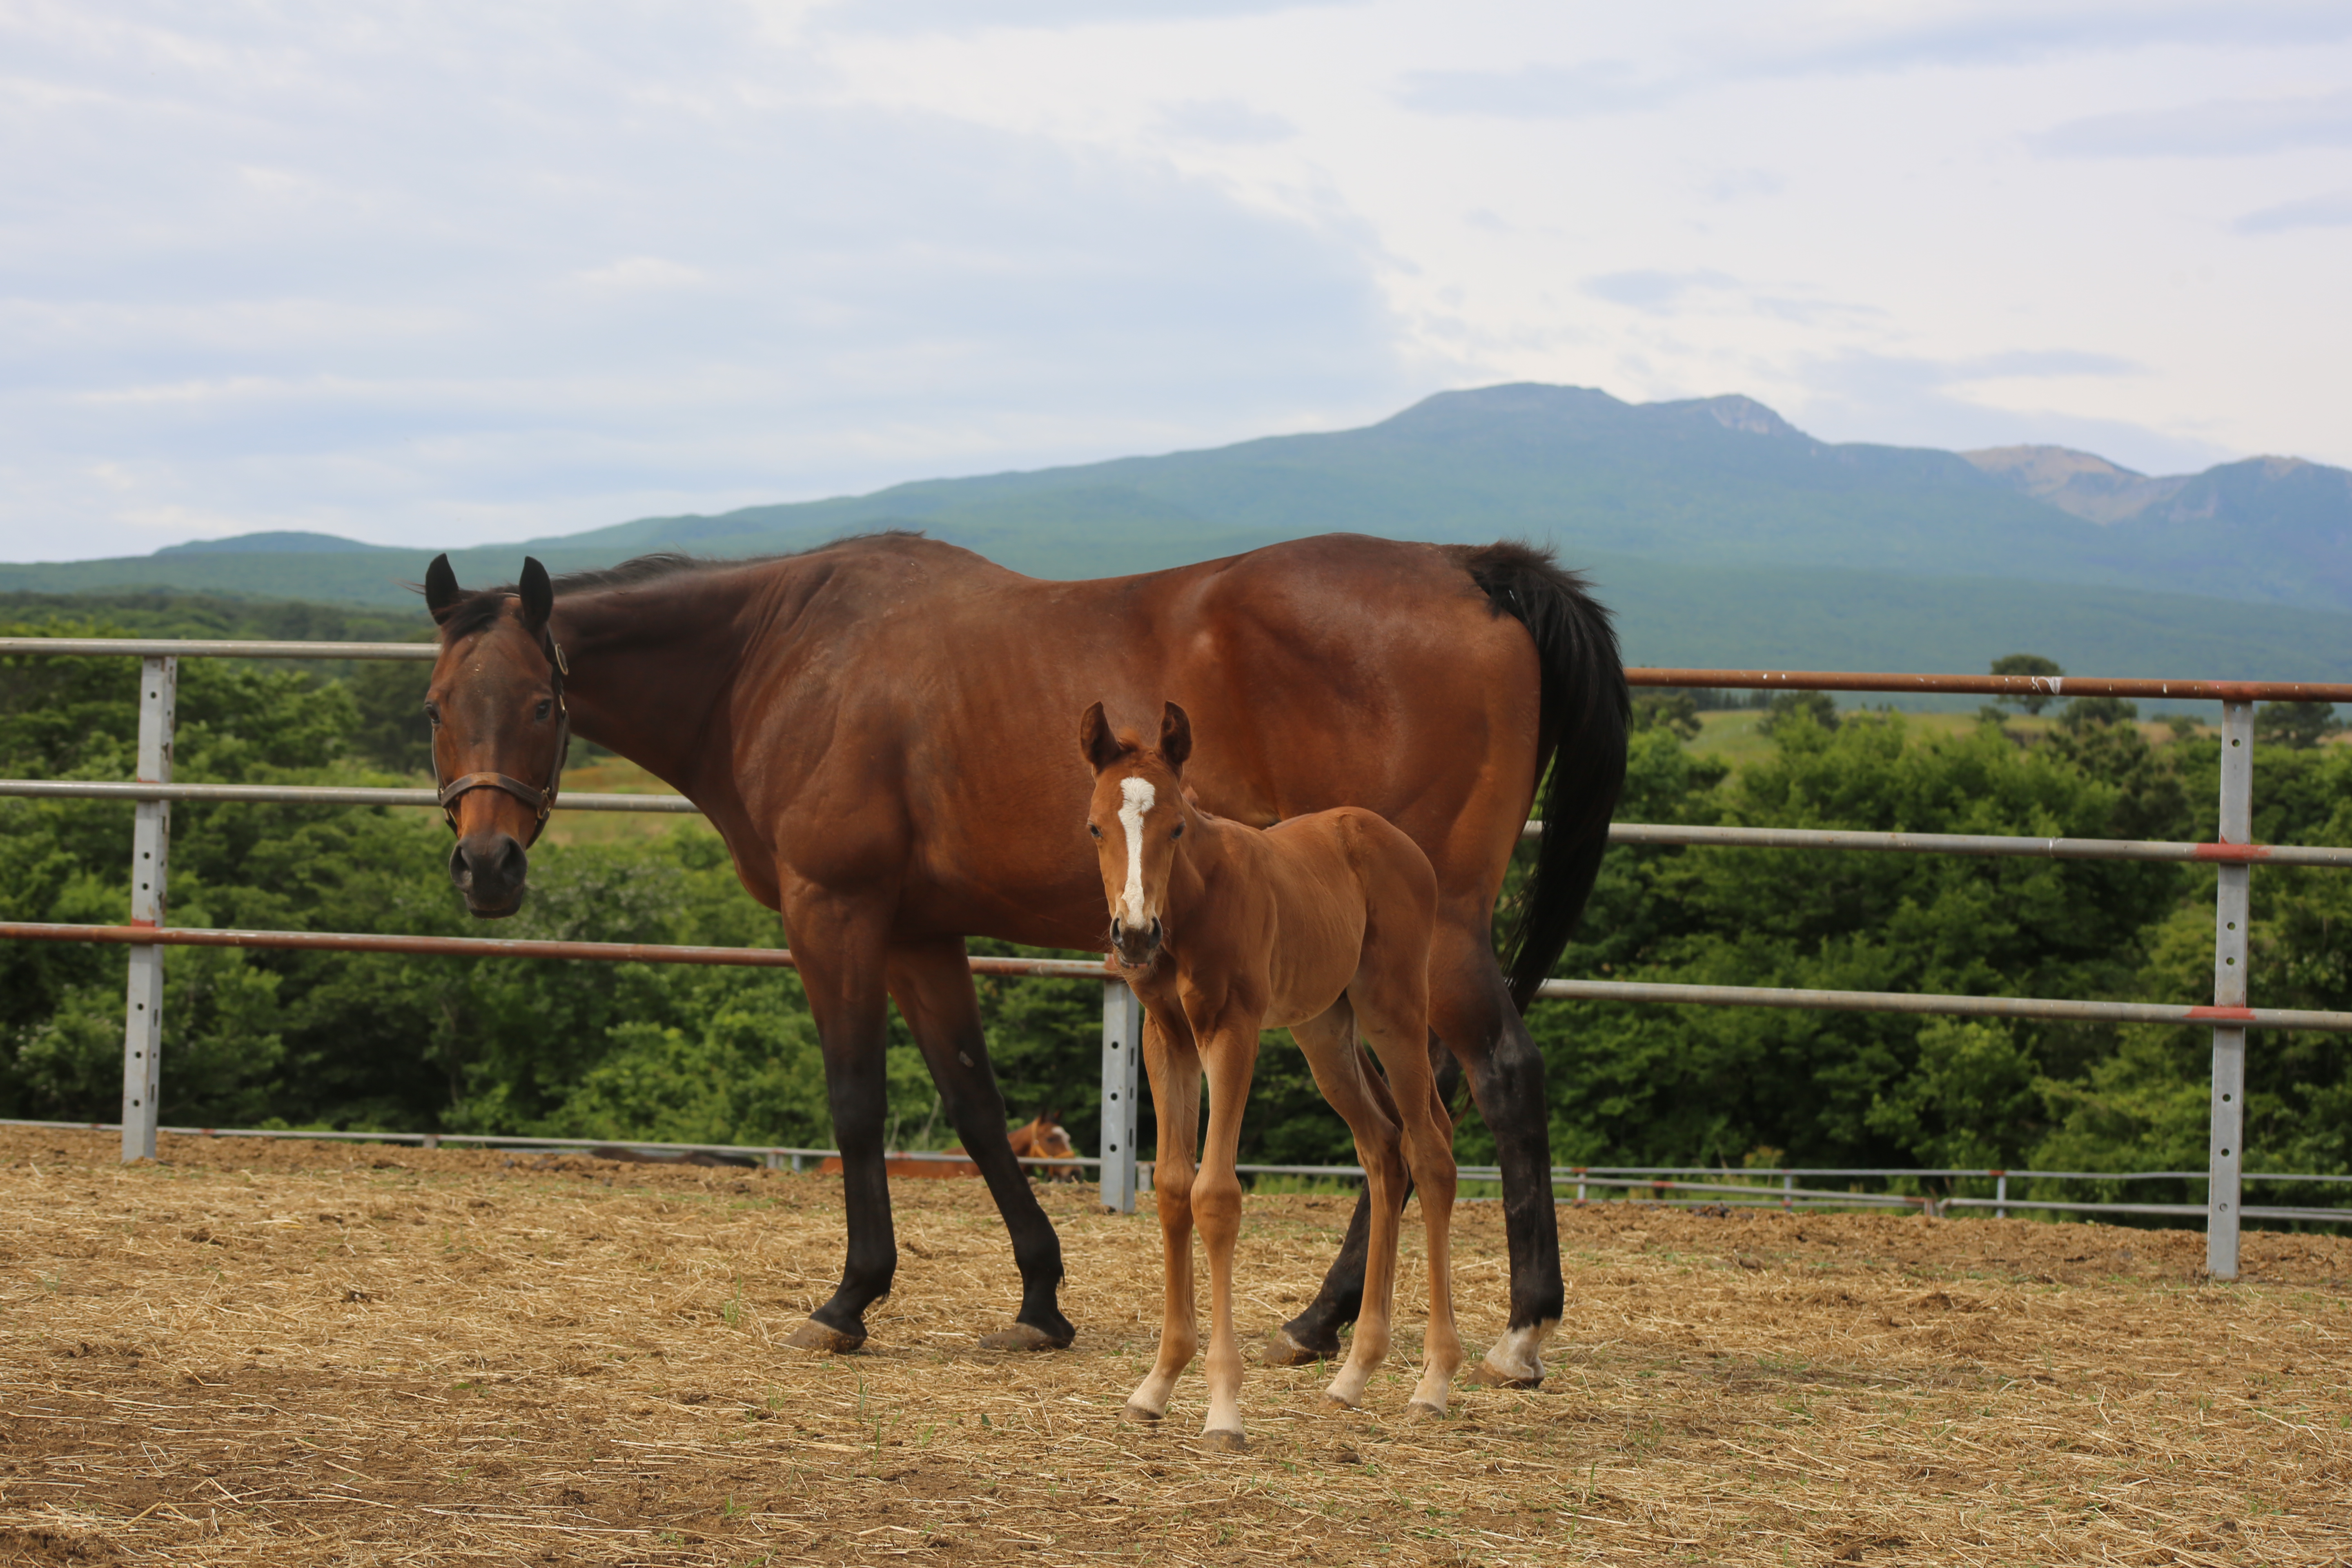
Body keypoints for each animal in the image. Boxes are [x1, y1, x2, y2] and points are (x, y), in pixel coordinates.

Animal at [423, 531, 1627, 1373]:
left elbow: (855, 1101)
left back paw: (1520, 1330)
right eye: (436, 705)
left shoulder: (835, 914)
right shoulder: (920, 932)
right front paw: (1039, 1301)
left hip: (1436, 937)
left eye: (541, 702)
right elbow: (971, 1103)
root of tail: (1472, 572)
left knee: (1496, 1081)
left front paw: (847, 1301)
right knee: (1415, 1117)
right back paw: (1318, 1320)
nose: (484, 866)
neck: (783, 654)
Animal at [1077, 705, 1449, 1457]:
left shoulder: (1232, 1031)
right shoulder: (1167, 1036)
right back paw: (1354, 1375)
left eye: (1177, 826)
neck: (1192, 902)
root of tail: (1399, 843)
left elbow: (1215, 1195)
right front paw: (1156, 1386)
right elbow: (1171, 1189)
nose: (1135, 933)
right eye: (1098, 826)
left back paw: (1434, 1384)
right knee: (1384, 1150)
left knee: (1430, 1152)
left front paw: (1224, 1407)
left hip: (1393, 1011)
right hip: (1325, 1031)